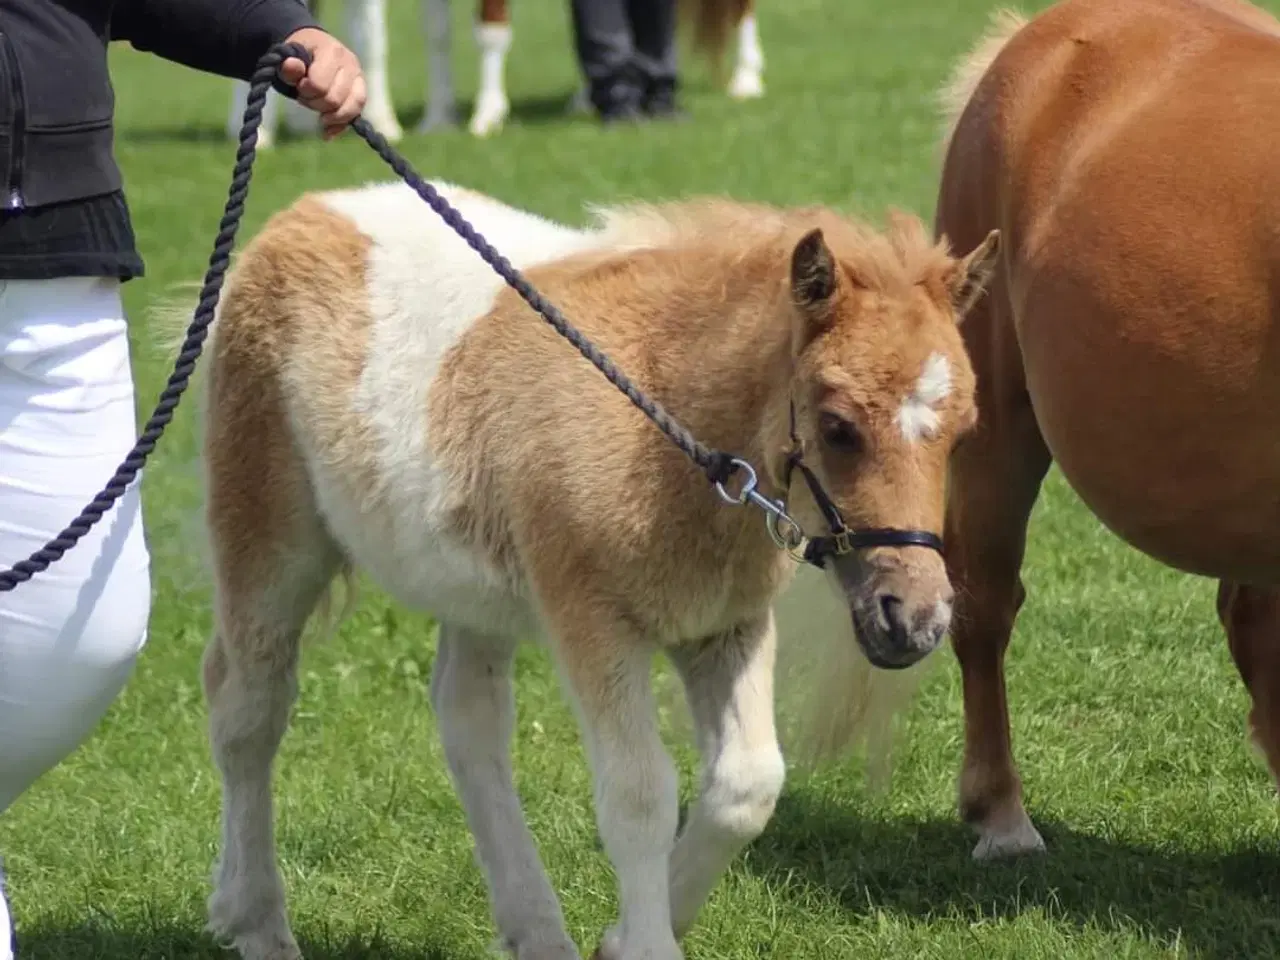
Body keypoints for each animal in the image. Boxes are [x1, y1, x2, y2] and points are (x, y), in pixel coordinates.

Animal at [194, 176, 998, 957]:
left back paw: (536, 933)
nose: (915, 618)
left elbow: (747, 786)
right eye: (836, 427)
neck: (669, 437)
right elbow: (639, 795)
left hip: (468, 586)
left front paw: (620, 938)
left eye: (964, 432)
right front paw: (642, 945)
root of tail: (306, 212)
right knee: (248, 707)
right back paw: (257, 923)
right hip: (269, 538)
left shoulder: (725, 625)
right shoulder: (594, 621)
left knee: (468, 720)